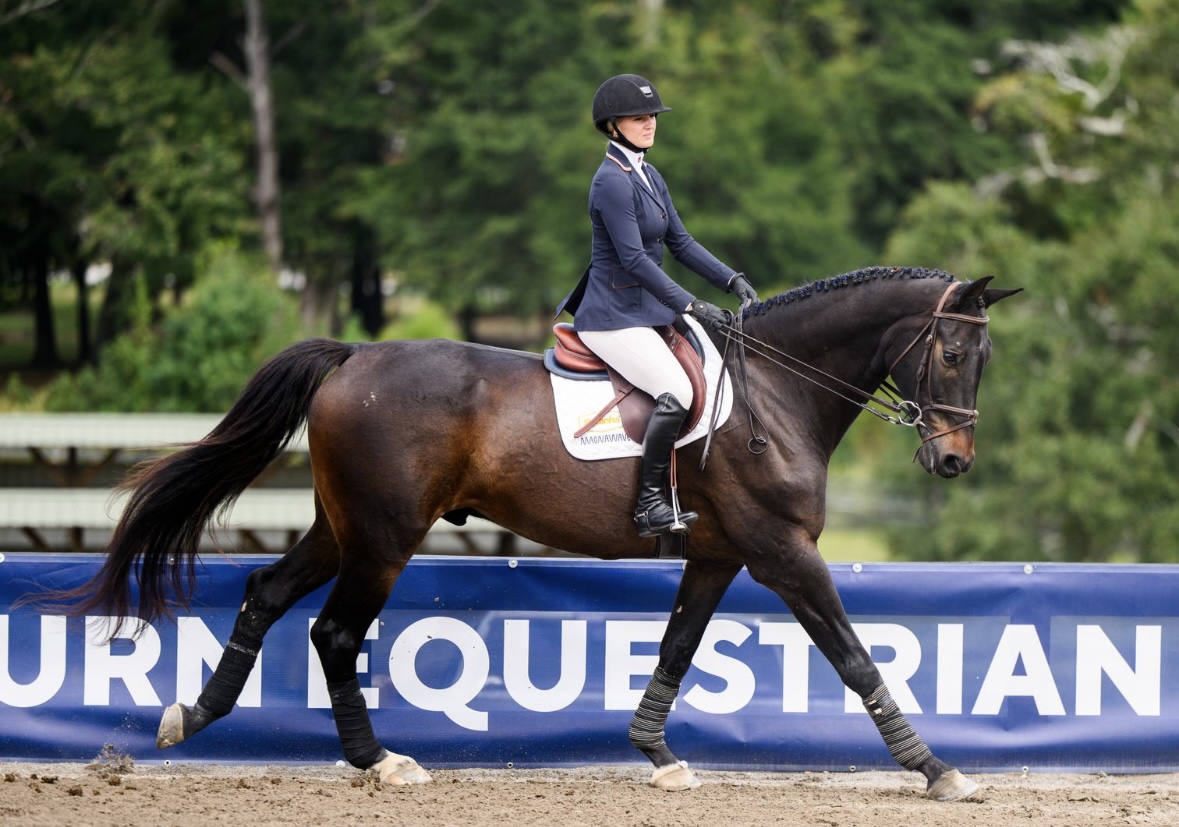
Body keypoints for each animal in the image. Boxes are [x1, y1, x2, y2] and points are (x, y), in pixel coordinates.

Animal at [44, 265, 1020, 800]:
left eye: (984, 360)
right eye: (948, 353)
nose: (952, 462)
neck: (777, 392)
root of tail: (356, 354)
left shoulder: (718, 553)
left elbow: (677, 646)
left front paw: (656, 753)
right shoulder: (782, 552)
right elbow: (854, 655)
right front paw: (936, 769)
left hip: (345, 525)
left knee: (266, 594)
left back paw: (194, 714)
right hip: (386, 538)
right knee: (335, 631)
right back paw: (378, 761)